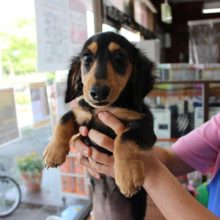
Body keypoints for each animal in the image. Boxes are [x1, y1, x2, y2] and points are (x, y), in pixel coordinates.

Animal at [43, 31, 156, 220]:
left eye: (119, 57)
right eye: (87, 57)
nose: (98, 93)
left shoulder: (144, 126)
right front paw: (53, 152)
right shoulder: (81, 114)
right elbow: (63, 120)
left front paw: (128, 176)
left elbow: (124, 137)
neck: (103, 109)